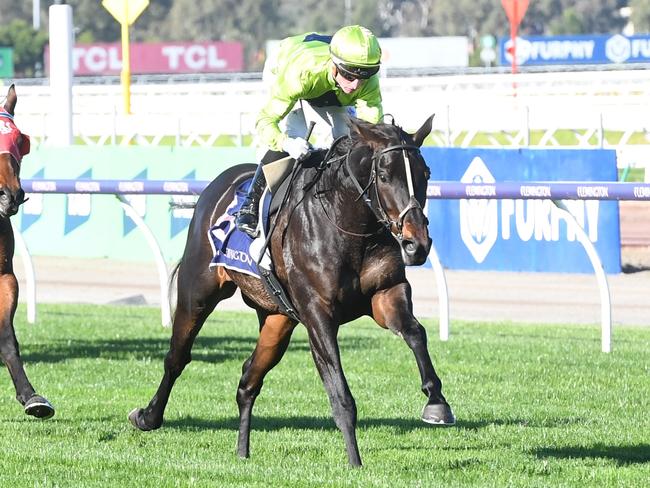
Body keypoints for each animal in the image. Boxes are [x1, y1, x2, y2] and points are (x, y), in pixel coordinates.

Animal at [129, 114, 454, 466]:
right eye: (383, 175)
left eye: (426, 173)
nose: (416, 244)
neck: (348, 225)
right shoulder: (317, 314)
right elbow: (340, 392)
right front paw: (355, 462)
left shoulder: (387, 292)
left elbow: (415, 332)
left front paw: (437, 403)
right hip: (197, 291)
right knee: (177, 357)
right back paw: (147, 417)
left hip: (278, 318)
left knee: (249, 378)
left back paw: (242, 451)